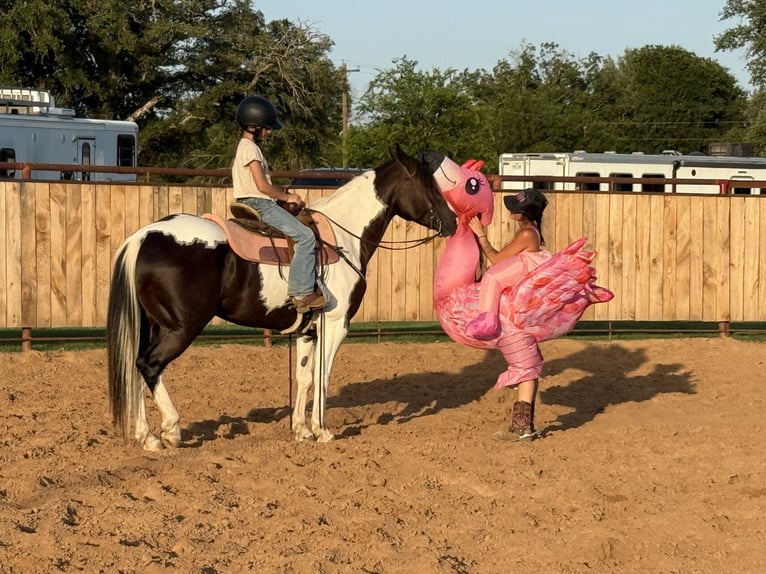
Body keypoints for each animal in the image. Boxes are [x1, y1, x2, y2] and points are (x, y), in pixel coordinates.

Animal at [106, 145, 457, 450]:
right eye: (429, 185)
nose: (452, 222)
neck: (343, 238)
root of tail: (143, 236)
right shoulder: (335, 325)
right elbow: (322, 376)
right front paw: (322, 431)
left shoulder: (308, 330)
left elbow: (303, 377)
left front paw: (301, 430)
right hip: (181, 327)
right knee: (149, 365)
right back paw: (170, 430)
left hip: (152, 324)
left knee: (137, 369)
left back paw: (147, 436)